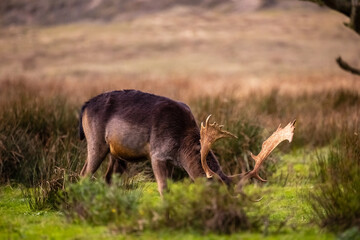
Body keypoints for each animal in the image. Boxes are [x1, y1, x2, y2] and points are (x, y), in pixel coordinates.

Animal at [79, 89, 296, 195]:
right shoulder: (157, 154)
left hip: (118, 154)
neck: (179, 145)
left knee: (108, 178)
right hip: (95, 141)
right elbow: (163, 188)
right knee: (84, 174)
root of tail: (84, 106)